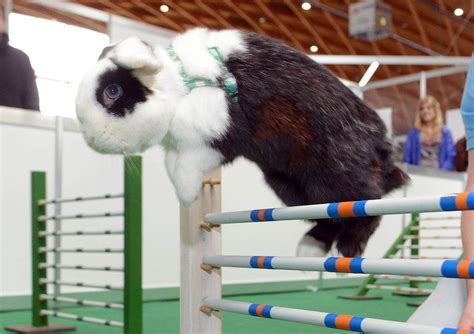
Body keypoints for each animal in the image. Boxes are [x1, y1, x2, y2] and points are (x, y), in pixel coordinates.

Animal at [76, 29, 410, 258]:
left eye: (112, 92)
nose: (91, 139)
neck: (182, 85)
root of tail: (384, 154)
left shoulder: (219, 137)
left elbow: (182, 169)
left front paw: (187, 196)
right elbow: (172, 163)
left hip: (336, 173)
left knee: (368, 203)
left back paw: (349, 249)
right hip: (292, 188)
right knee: (330, 213)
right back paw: (310, 247)